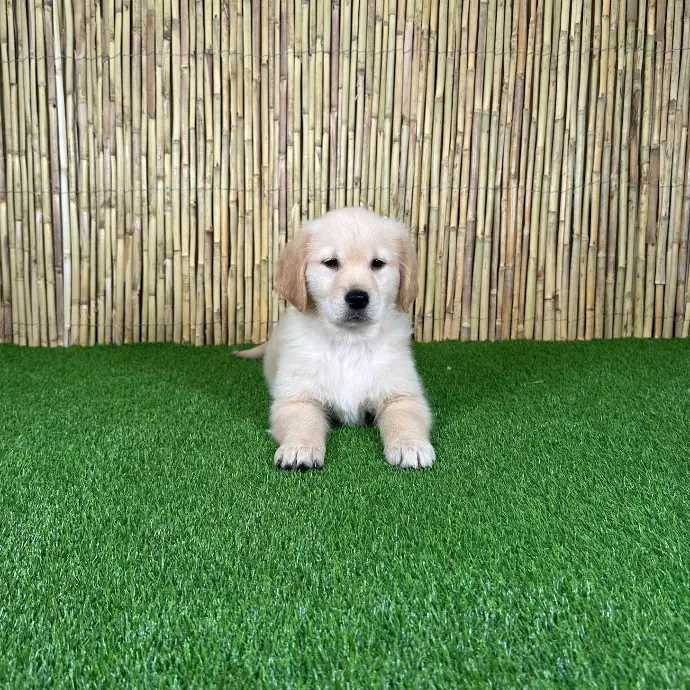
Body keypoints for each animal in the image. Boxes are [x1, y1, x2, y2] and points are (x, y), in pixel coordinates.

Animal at [235, 207, 435, 471]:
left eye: (378, 264)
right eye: (331, 263)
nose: (358, 298)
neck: (348, 342)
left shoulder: (402, 394)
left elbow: (405, 417)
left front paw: (410, 445)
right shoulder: (297, 398)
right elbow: (302, 422)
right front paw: (299, 448)